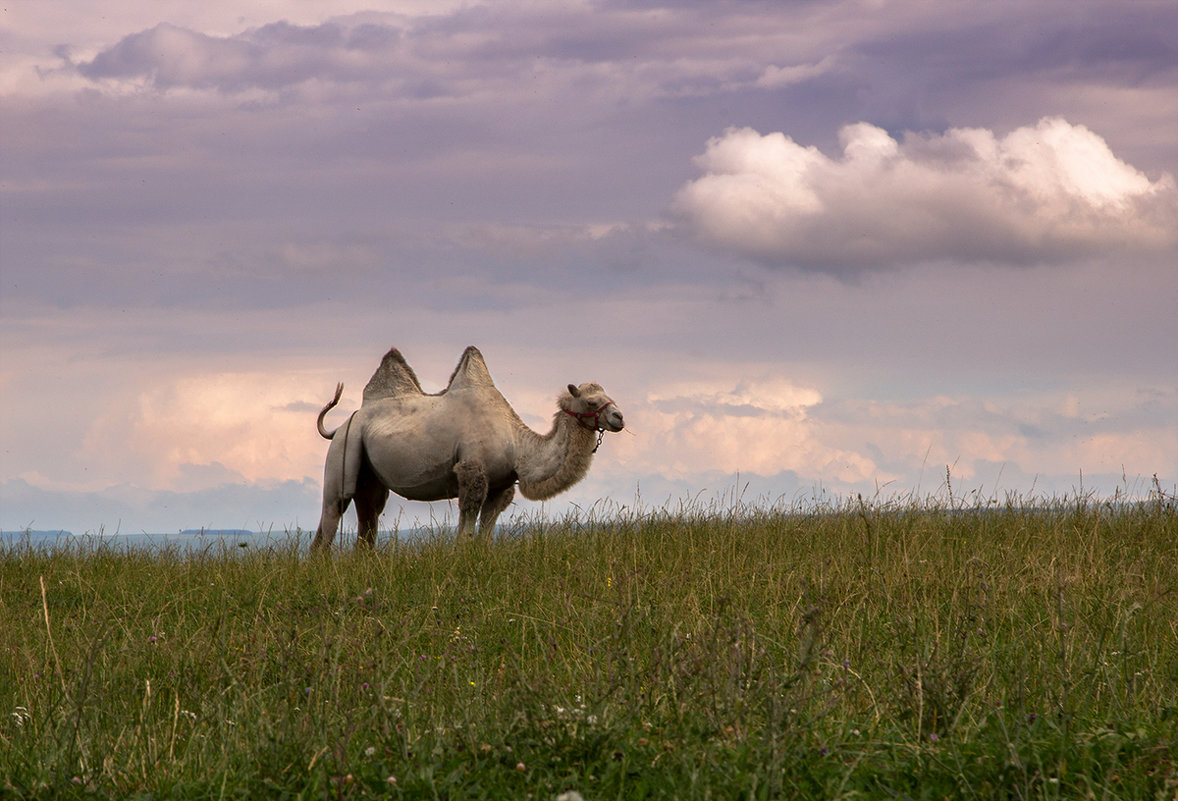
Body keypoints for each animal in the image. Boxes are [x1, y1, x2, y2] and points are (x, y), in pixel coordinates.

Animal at [310, 343, 626, 551]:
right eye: (591, 402)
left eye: (607, 395)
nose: (619, 417)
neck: (517, 445)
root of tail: (343, 423)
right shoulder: (473, 472)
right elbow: (466, 531)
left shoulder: (501, 485)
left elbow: (485, 533)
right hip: (345, 448)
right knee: (333, 510)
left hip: (369, 471)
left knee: (369, 516)